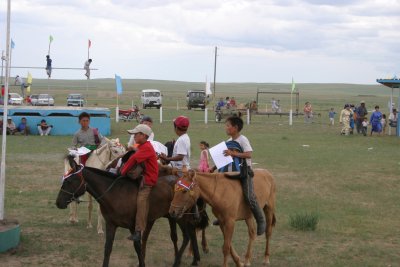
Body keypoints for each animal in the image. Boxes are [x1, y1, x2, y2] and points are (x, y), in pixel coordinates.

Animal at [57, 156, 208, 266]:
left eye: (69, 181)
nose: (58, 202)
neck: (115, 193)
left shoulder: (133, 227)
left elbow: (137, 247)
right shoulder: (111, 225)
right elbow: (107, 249)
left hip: (181, 217)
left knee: (187, 236)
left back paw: (178, 261)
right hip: (173, 216)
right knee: (188, 234)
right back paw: (193, 259)